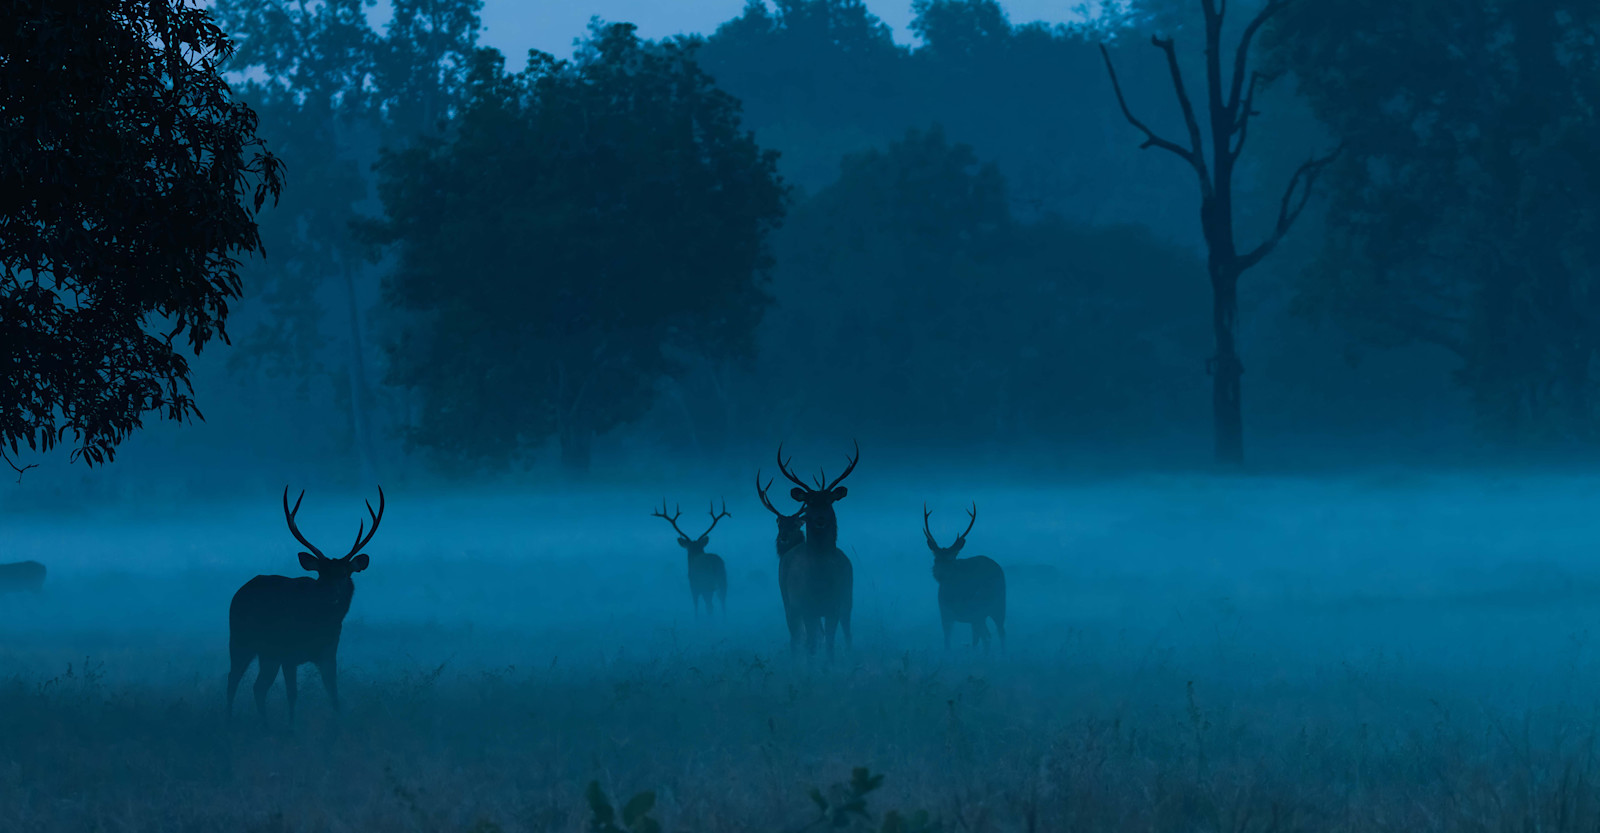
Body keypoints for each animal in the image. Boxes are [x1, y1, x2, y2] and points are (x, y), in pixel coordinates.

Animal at [226, 486, 384, 725]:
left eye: (345, 574)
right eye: (322, 574)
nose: (332, 593)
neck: (316, 627)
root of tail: (240, 591)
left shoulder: (329, 653)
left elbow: (334, 695)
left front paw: (339, 725)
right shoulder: (288, 652)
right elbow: (293, 695)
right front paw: (292, 728)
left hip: (267, 654)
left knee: (258, 687)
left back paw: (265, 724)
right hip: (240, 639)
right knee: (232, 679)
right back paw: (228, 719)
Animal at [775, 441, 858, 659]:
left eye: (829, 500)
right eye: (810, 501)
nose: (820, 519)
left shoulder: (835, 606)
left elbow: (829, 644)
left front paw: (829, 664)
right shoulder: (806, 606)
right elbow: (811, 644)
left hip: (848, 601)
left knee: (848, 634)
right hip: (788, 603)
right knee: (796, 638)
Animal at [923, 502, 1006, 652]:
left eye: (951, 559)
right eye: (935, 559)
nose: (940, 574)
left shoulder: (976, 612)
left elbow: (980, 639)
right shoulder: (945, 614)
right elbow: (947, 642)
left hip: (999, 605)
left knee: (1000, 632)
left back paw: (1003, 654)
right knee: (988, 635)